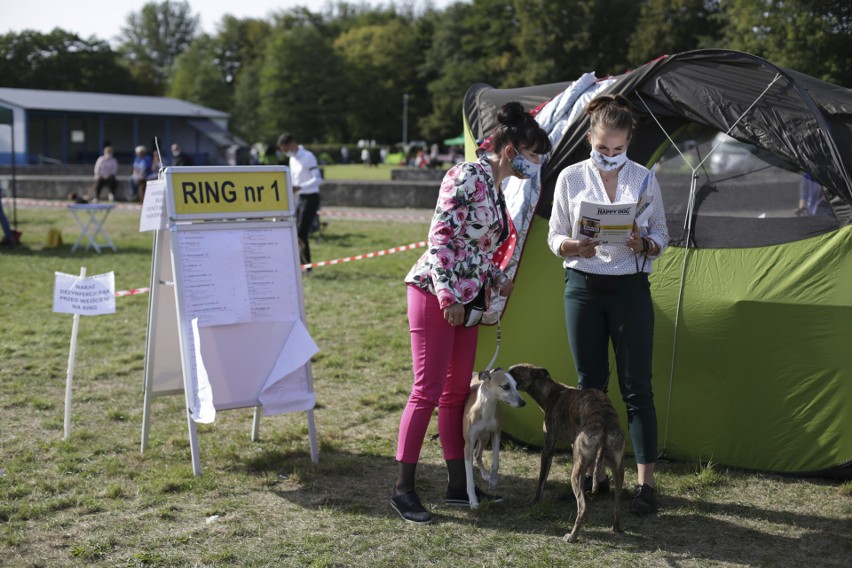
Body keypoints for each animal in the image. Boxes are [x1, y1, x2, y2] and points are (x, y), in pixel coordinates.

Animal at [462, 368, 524, 510]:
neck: (486, 408)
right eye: (505, 386)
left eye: (516, 385)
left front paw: (493, 481)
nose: (523, 403)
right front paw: (473, 501)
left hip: (484, 437)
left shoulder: (496, 433)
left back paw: (485, 474)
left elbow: (496, 463)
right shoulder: (468, 445)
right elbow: (469, 478)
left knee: (478, 454)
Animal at [510, 362, 624, 544]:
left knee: (583, 507)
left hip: (576, 471)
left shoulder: (548, 448)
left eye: (514, 372)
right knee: (618, 503)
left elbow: (541, 481)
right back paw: (617, 528)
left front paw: (532, 502)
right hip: (618, 468)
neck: (552, 392)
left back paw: (572, 536)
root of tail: (604, 425)